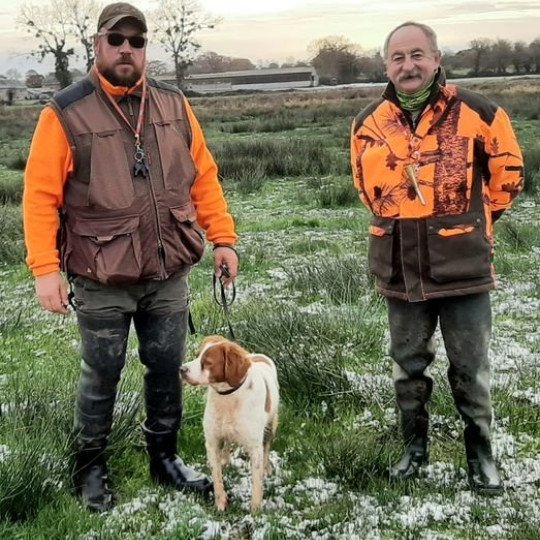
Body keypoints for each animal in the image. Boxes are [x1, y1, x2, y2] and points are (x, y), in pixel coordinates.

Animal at [182, 336, 282, 512]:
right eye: (196, 355)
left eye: (207, 362)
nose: (181, 369)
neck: (228, 397)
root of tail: (257, 356)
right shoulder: (212, 442)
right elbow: (217, 478)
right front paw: (220, 504)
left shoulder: (255, 447)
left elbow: (257, 482)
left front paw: (255, 509)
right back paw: (226, 460)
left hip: (271, 426)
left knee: (267, 446)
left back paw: (266, 468)